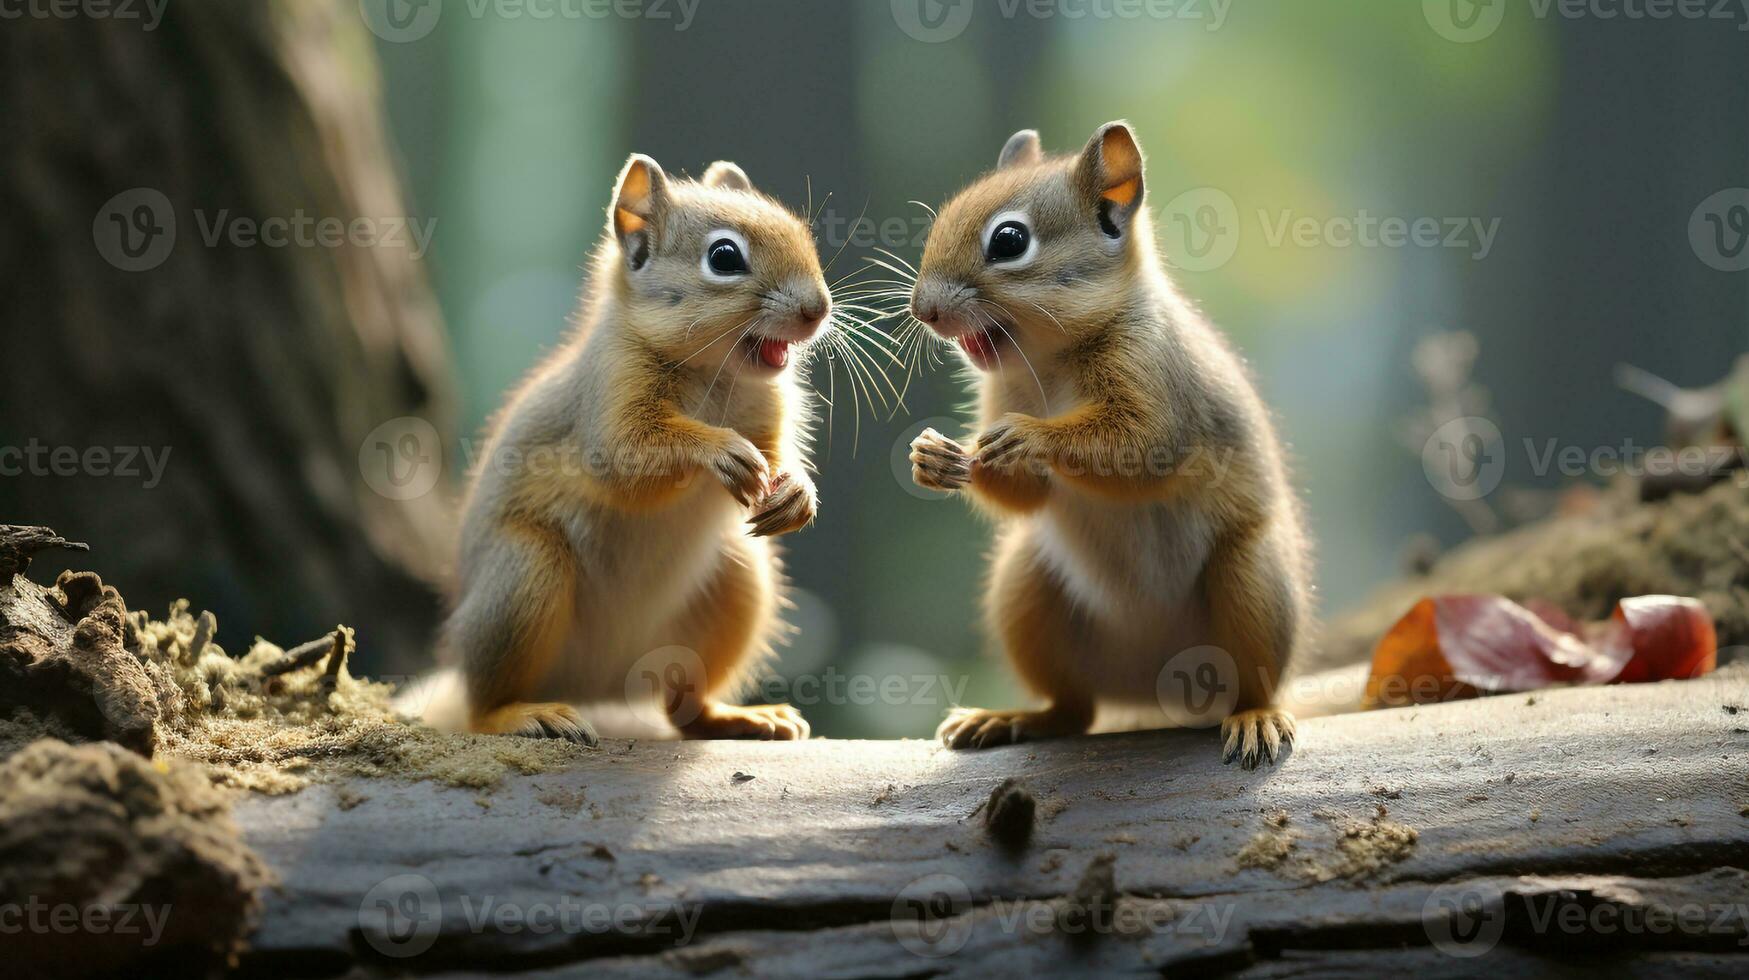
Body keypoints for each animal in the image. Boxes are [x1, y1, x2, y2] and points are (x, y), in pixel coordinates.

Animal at [440, 153, 829, 742]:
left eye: (803, 235)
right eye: (724, 257)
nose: (818, 309)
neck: (715, 376)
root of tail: (602, 686)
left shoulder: (771, 415)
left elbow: (778, 455)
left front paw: (796, 493)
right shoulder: (609, 396)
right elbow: (625, 460)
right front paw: (718, 448)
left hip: (736, 584)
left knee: (683, 703)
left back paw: (737, 717)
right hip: (524, 575)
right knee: (479, 705)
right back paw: (520, 713)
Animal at [902, 120, 1315, 766]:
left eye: (1009, 241)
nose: (924, 308)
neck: (1050, 362)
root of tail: (1154, 688)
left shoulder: (1158, 381)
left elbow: (1139, 450)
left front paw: (1031, 436)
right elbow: (1026, 497)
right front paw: (936, 460)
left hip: (1252, 580)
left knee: (1255, 681)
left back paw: (1257, 717)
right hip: (1025, 588)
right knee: (1075, 710)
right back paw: (1014, 718)